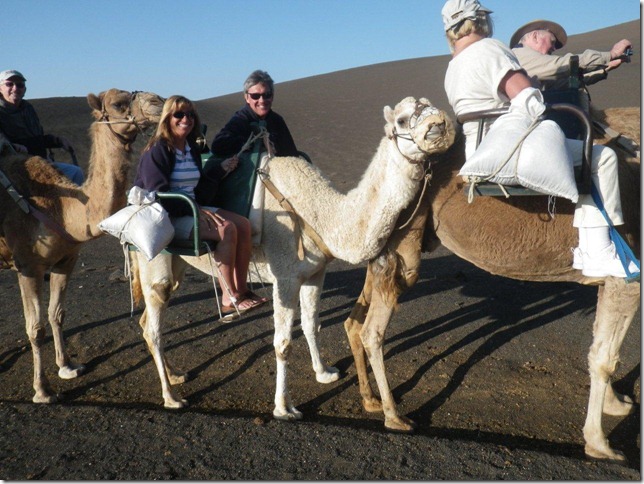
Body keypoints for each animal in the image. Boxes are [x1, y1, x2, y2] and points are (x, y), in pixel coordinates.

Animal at [0, 89, 164, 404]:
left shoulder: (66, 260)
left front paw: (67, 366)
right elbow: (35, 328)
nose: (158, 102)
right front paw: (42, 390)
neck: (61, 210)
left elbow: (57, 314)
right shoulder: (28, 265)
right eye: (118, 104)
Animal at [128, 96, 456, 418]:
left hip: (178, 261)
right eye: (401, 119)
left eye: (429, 103)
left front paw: (324, 373)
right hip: (154, 259)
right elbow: (282, 343)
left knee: (147, 321)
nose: (440, 123)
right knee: (154, 324)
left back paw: (175, 375)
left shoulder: (314, 273)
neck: (320, 213)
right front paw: (284, 407)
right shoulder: (284, 277)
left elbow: (312, 324)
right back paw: (171, 397)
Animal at [343, 106, 641, 463]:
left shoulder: (611, 278)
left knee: (355, 322)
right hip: (405, 238)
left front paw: (616, 404)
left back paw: (370, 400)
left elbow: (602, 343)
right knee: (372, 330)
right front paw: (600, 444)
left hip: (387, 242)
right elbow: (604, 358)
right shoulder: (628, 276)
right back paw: (394, 416)